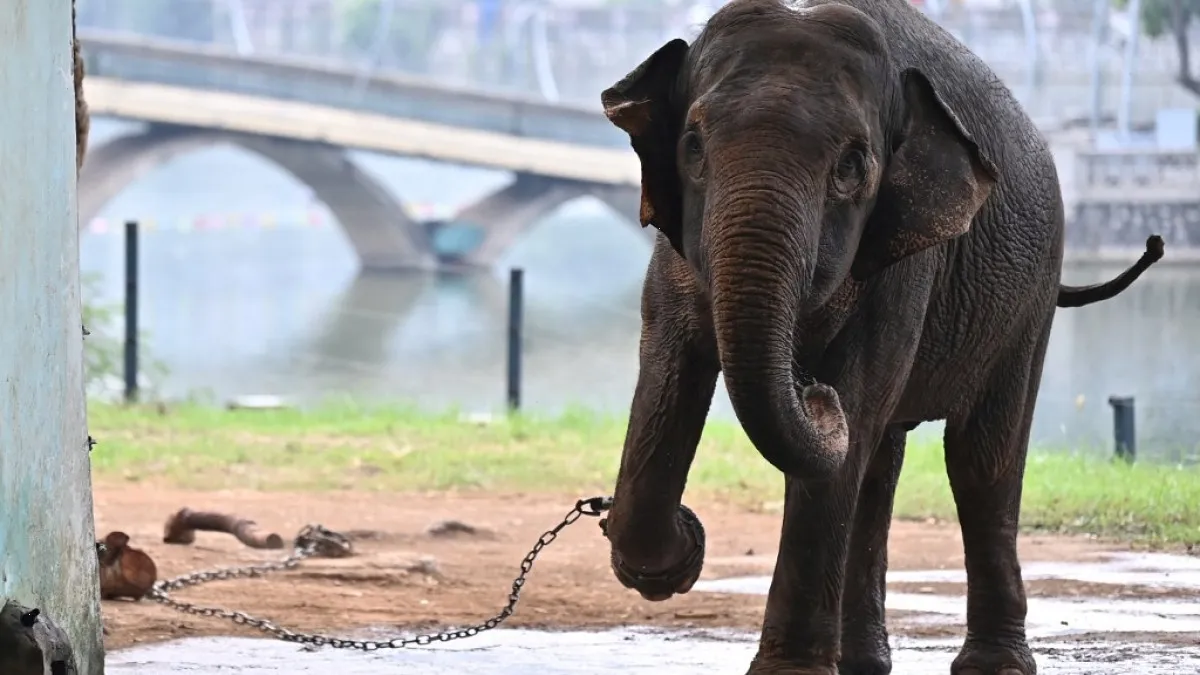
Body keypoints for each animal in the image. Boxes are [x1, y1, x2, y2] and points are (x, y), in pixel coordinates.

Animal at [597, 1, 1164, 674]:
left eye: (851, 167)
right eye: (691, 147)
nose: (812, 392)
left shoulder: (907, 262)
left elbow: (854, 410)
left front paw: (788, 669)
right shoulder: (674, 255)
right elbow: (667, 373)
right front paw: (677, 553)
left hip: (1032, 295)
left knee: (978, 462)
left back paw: (991, 664)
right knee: (880, 464)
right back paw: (866, 662)